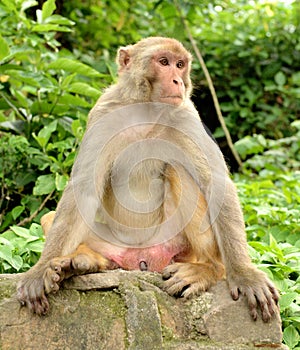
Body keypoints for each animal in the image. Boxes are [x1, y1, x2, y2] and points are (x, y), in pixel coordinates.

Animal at [16, 37, 278, 322]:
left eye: (180, 64)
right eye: (163, 62)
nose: (177, 80)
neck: (146, 110)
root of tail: (142, 260)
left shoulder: (186, 116)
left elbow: (216, 183)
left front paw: (244, 273)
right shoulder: (103, 113)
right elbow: (82, 189)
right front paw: (41, 268)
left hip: (179, 247)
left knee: (177, 170)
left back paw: (208, 269)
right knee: (49, 219)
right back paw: (80, 263)